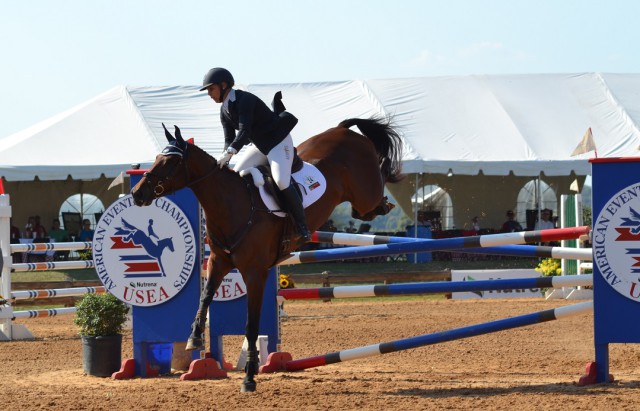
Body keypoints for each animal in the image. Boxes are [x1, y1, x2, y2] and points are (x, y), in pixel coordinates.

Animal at [129, 116, 400, 392]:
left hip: (365, 192)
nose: (137, 193)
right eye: (156, 158)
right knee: (362, 210)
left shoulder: (255, 273)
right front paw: (194, 338)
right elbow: (205, 297)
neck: (232, 205)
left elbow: (251, 325)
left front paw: (249, 377)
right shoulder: (218, 262)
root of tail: (343, 130)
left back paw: (387, 197)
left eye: (170, 162)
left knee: (376, 188)